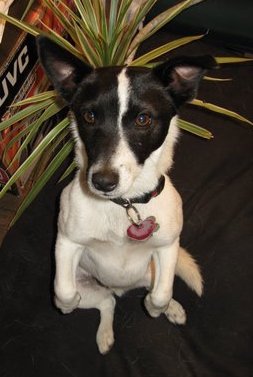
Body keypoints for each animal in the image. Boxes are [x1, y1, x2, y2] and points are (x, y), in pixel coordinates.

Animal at [37, 35, 215, 352]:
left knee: (153, 288)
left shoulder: (167, 247)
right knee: (106, 302)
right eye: (88, 115)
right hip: (92, 286)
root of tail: (121, 288)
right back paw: (105, 334)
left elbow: (161, 293)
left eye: (143, 119)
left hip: (151, 270)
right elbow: (63, 289)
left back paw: (171, 308)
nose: (102, 182)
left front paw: (157, 308)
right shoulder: (67, 243)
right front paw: (65, 305)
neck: (124, 205)